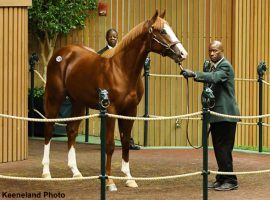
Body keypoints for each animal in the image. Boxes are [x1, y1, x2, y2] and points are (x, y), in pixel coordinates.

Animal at [41, 10, 188, 191]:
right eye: (162, 31)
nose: (183, 54)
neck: (122, 70)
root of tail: (61, 54)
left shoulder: (130, 111)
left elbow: (125, 141)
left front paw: (129, 178)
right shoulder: (111, 111)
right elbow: (110, 145)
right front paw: (110, 182)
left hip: (78, 102)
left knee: (72, 130)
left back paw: (75, 171)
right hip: (55, 98)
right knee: (49, 129)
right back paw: (46, 172)